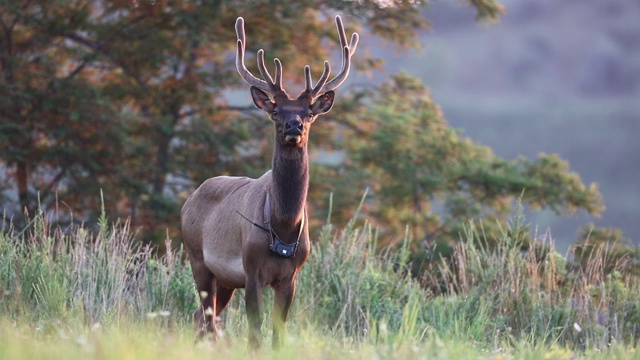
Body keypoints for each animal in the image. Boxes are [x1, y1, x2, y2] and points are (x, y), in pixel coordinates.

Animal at [181, 15, 360, 348]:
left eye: (309, 113)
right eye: (276, 111)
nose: (294, 125)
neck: (283, 227)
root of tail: (189, 199)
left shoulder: (291, 277)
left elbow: (279, 332)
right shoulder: (251, 270)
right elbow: (255, 331)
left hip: (225, 280)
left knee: (203, 317)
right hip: (197, 259)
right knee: (206, 319)